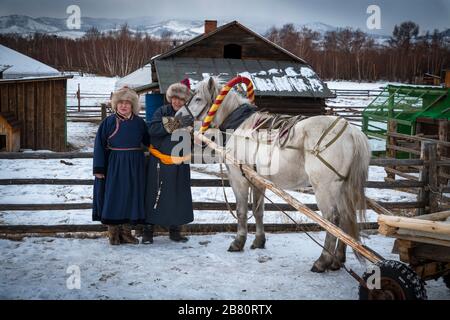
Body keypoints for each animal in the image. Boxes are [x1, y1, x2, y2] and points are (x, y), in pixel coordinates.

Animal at [176, 78, 370, 272]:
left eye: (198, 99)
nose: (177, 116)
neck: (239, 127)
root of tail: (352, 132)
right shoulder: (258, 181)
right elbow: (258, 211)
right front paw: (259, 241)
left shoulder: (239, 180)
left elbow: (241, 211)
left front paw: (238, 242)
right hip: (342, 187)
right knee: (346, 217)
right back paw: (338, 259)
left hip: (324, 188)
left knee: (332, 220)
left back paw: (323, 261)